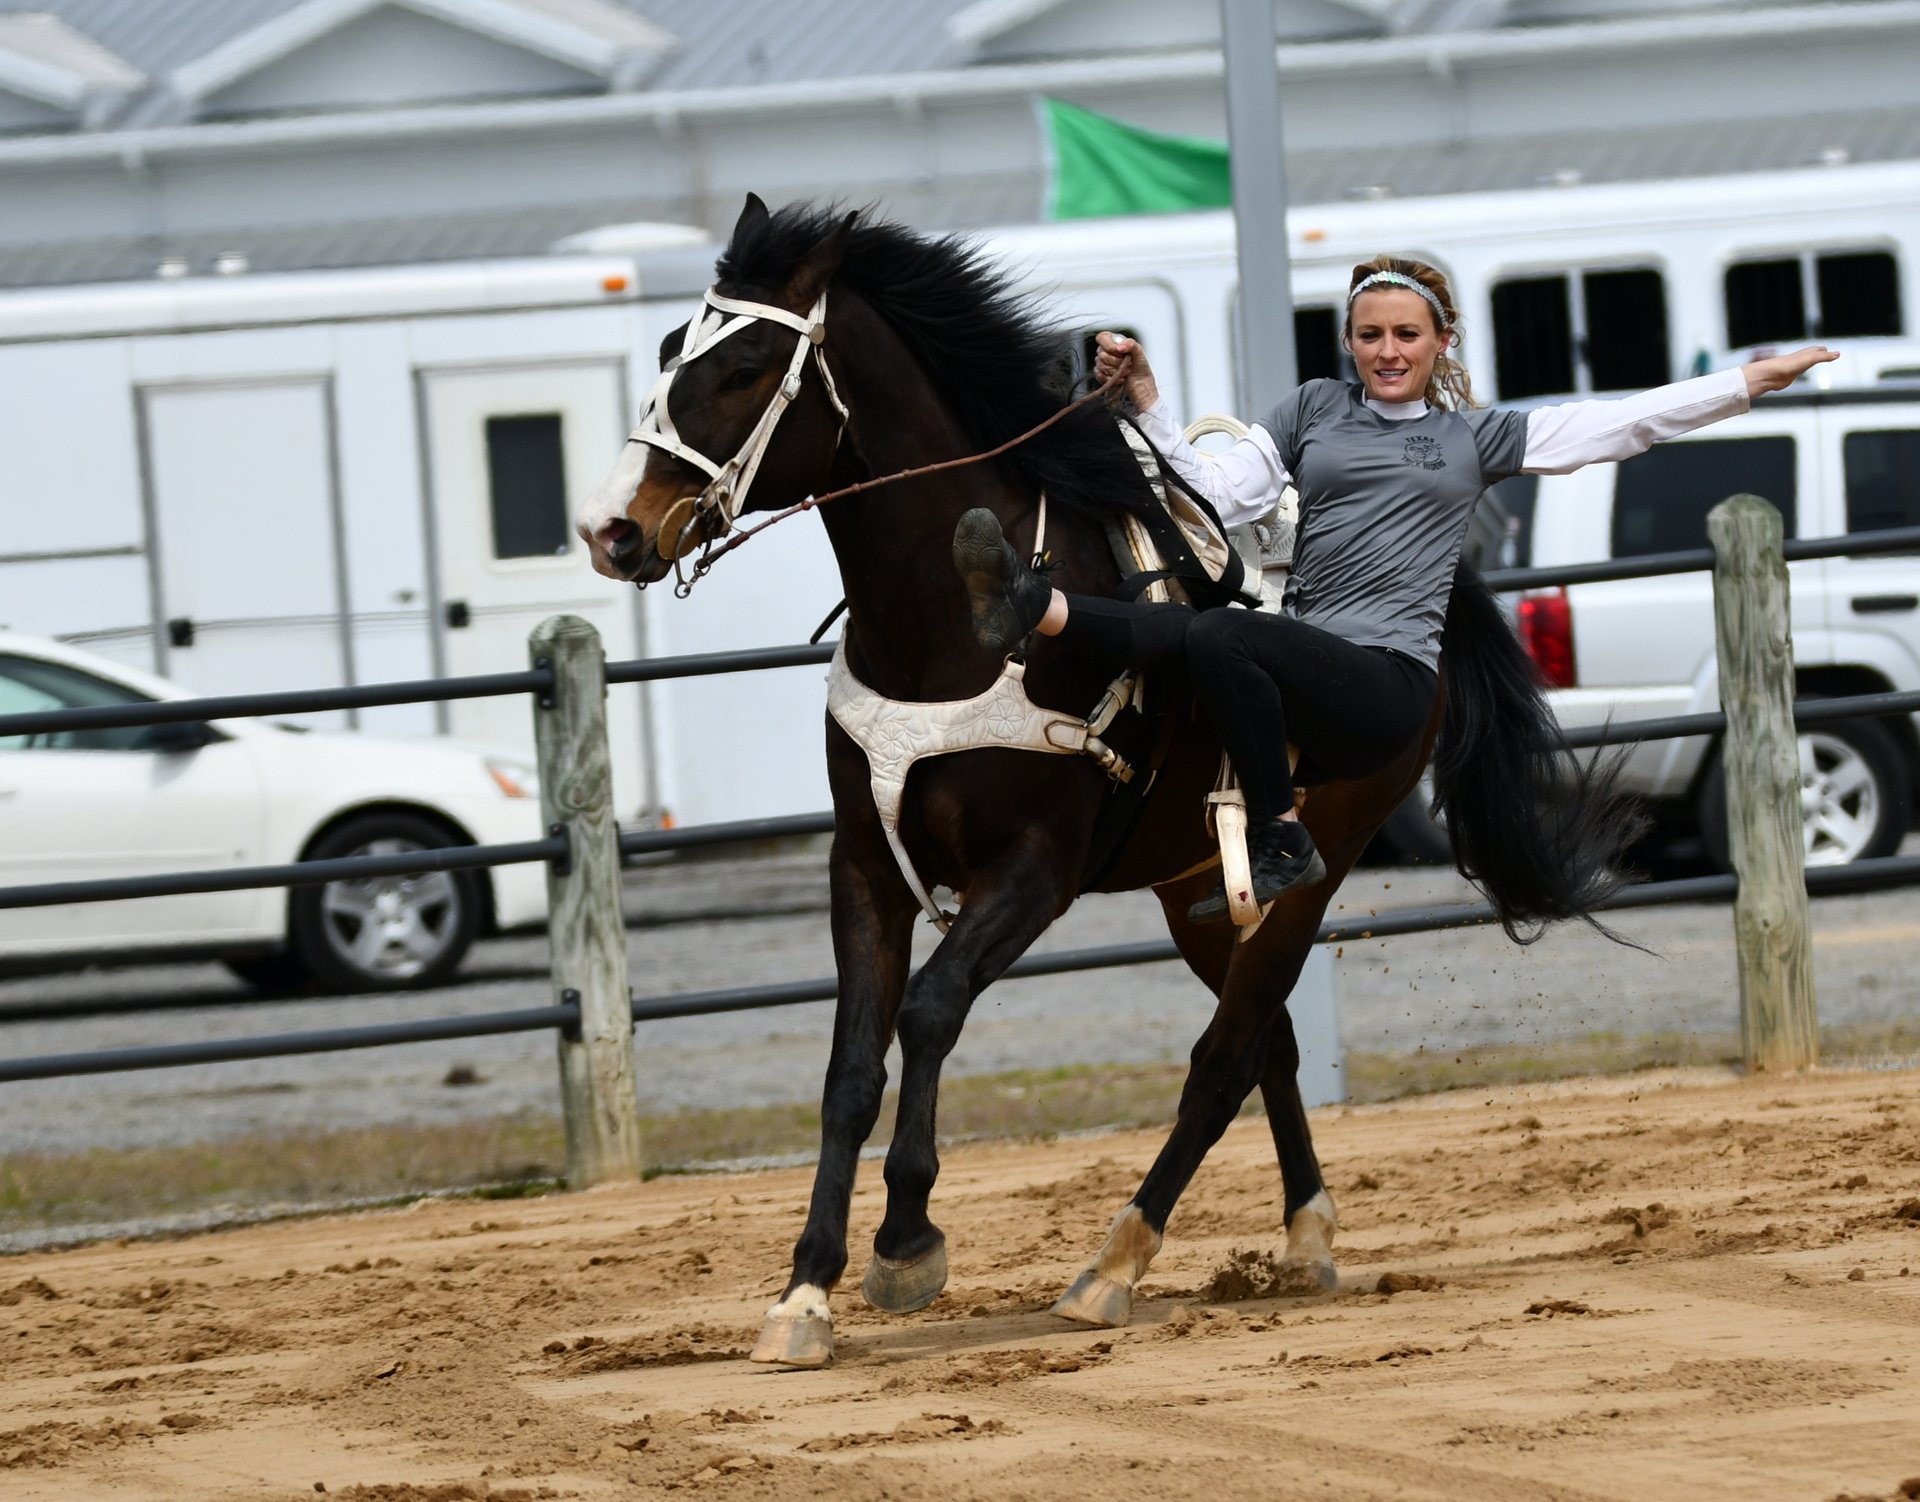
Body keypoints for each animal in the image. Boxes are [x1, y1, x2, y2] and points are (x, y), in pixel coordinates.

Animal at [572, 193, 1635, 1367]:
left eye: (746, 365)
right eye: (674, 349)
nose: (612, 528)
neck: (945, 632)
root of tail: (1432, 630)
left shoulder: (1034, 872)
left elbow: (931, 1011)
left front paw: (907, 1243)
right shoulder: (865, 869)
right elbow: (849, 1071)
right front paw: (805, 1292)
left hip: (1310, 875)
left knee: (1223, 1060)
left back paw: (1114, 1264)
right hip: (1199, 888)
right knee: (1270, 1045)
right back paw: (1302, 1234)